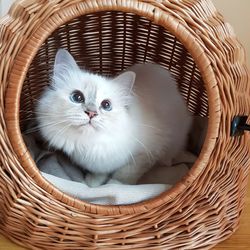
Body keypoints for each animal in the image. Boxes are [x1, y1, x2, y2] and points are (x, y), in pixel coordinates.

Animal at [36, 49, 191, 186]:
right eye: (77, 97)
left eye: (106, 105)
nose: (91, 113)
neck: (89, 145)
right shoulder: (100, 163)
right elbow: (100, 173)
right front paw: (92, 183)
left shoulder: (145, 155)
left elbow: (125, 174)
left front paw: (115, 185)